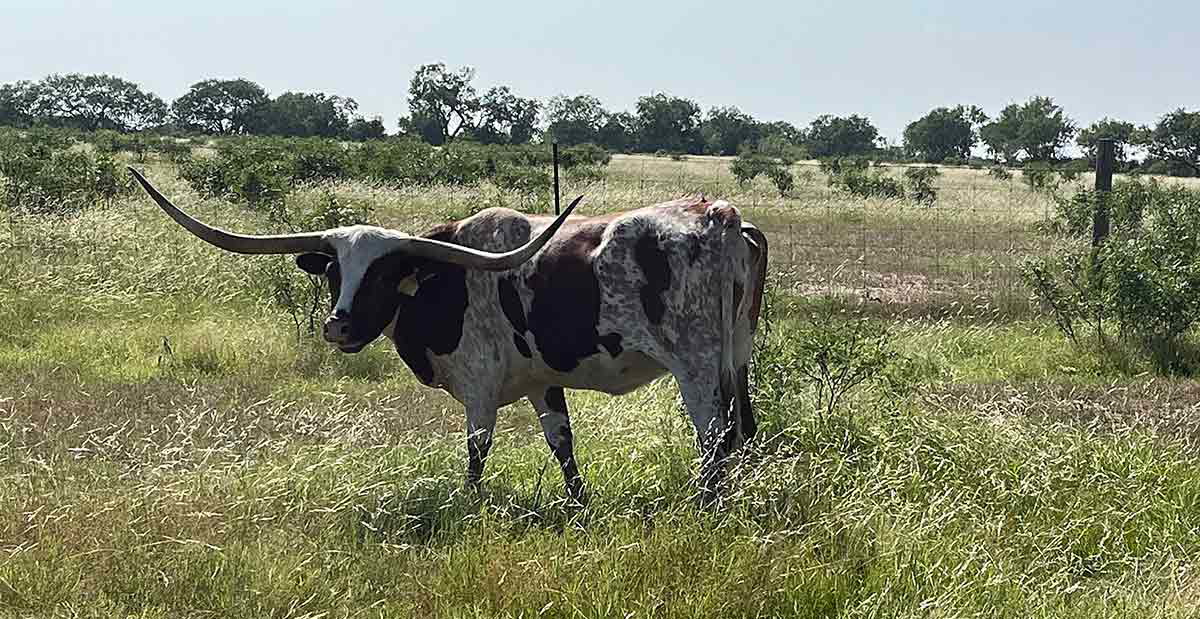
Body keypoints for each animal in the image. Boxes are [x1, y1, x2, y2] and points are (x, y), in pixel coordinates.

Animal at [128, 167, 768, 504]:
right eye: (335, 270)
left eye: (385, 273)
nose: (338, 326)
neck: (446, 278)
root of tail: (717, 214)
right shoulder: (541, 382)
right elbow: (562, 445)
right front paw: (578, 506)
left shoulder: (480, 385)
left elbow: (476, 451)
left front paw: (471, 505)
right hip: (736, 358)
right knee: (743, 432)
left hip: (696, 366)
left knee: (714, 440)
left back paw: (700, 506)